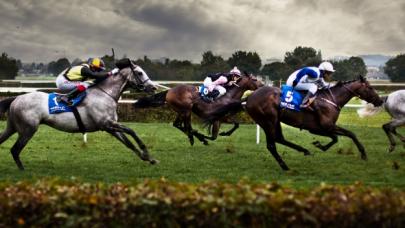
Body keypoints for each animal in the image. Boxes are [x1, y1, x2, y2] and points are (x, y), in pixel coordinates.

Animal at [0, 59, 158, 170]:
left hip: (12, 127)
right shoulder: (106, 124)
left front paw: (149, 158)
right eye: (140, 73)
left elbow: (128, 143)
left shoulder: (110, 127)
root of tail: (16, 98)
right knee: (15, 150)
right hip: (28, 129)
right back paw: (22, 170)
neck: (105, 94)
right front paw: (145, 151)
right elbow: (132, 131)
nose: (153, 87)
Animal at [134, 74, 264, 145]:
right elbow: (214, 134)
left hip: (182, 111)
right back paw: (195, 137)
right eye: (255, 79)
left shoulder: (221, 118)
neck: (228, 96)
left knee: (178, 125)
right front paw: (204, 137)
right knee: (187, 127)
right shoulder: (216, 116)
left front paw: (223, 133)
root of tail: (169, 91)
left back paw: (194, 137)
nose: (263, 86)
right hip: (186, 110)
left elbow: (234, 125)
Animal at [205, 75, 382, 170]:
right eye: (370, 88)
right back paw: (285, 165)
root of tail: (248, 98)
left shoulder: (318, 128)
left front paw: (319, 145)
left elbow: (335, 137)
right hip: (269, 120)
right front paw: (363, 154)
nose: (380, 101)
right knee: (272, 144)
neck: (331, 99)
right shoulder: (325, 126)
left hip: (273, 120)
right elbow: (349, 134)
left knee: (279, 139)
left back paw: (304, 150)